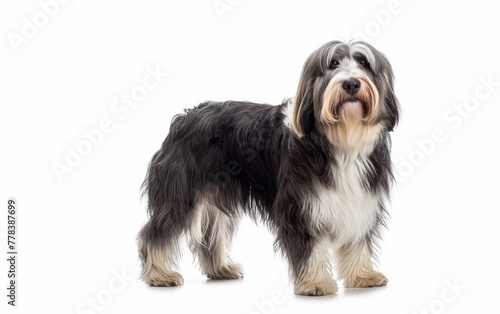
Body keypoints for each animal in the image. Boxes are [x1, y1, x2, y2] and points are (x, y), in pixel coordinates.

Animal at [136, 39, 398, 294]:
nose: (352, 84)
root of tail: (185, 118)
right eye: (332, 63)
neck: (343, 140)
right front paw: (315, 283)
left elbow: (357, 241)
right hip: (181, 193)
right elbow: (310, 246)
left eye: (364, 63)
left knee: (211, 235)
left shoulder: (360, 199)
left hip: (218, 194)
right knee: (154, 233)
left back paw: (220, 269)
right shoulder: (299, 206)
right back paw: (159, 274)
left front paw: (362, 275)